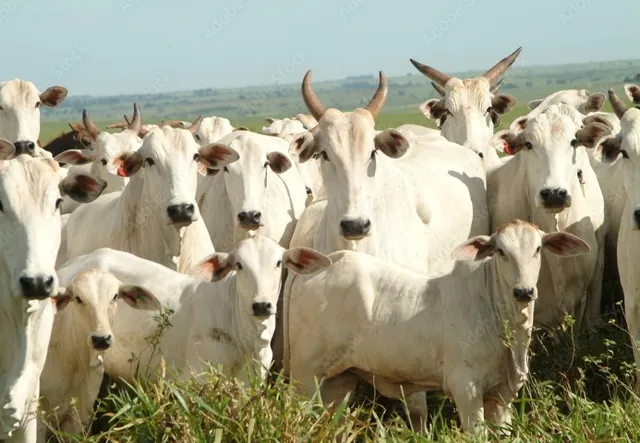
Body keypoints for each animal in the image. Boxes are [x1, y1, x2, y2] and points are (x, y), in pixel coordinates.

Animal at [286, 220, 590, 435]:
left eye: (538, 249)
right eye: (501, 251)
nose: (523, 292)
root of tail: (321, 265)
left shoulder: (502, 396)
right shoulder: (465, 387)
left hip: (339, 379)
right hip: (304, 375)